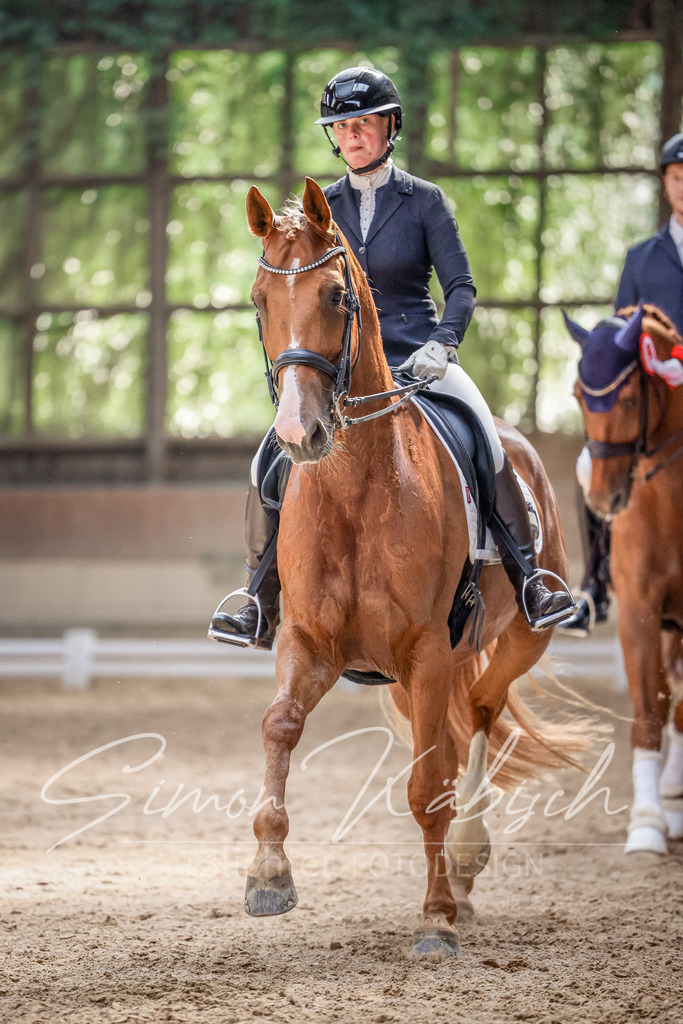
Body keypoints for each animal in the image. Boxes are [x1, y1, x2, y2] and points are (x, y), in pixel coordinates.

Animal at [243, 177, 590, 959]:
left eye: (337, 296)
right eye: (258, 299)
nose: (299, 435)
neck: (355, 490)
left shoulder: (428, 650)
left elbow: (427, 785)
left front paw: (434, 918)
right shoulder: (308, 642)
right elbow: (279, 727)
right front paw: (268, 878)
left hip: (516, 638)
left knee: (482, 713)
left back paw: (463, 867)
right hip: (406, 681)